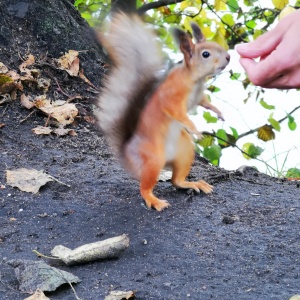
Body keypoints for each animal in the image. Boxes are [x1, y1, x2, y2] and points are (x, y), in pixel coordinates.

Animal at [96, 13, 230, 211]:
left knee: (176, 181)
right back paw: (154, 200)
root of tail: (128, 155)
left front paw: (218, 112)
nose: (228, 57)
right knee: (145, 187)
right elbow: (177, 111)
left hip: (184, 152)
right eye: (206, 54)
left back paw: (193, 183)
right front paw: (195, 129)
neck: (194, 79)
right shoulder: (171, 96)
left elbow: (206, 103)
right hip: (153, 159)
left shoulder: (199, 96)